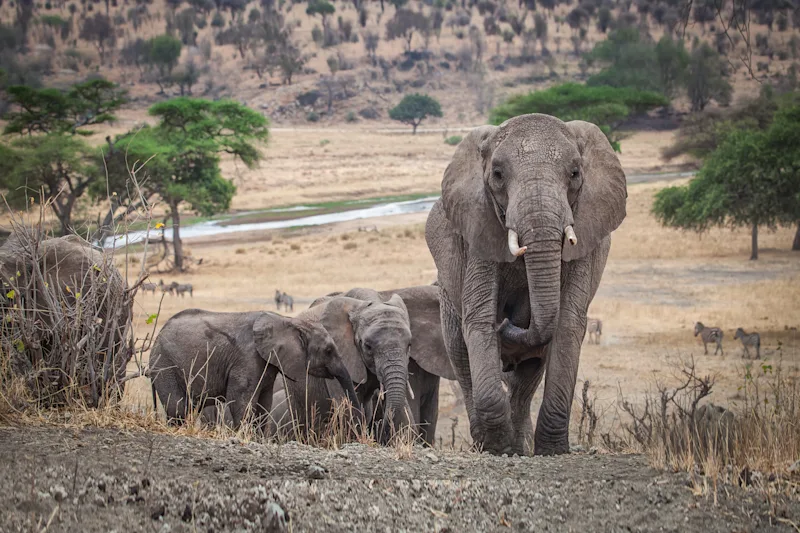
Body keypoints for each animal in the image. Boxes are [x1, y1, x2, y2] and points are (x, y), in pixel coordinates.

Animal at [148, 308, 360, 429]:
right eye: (329, 350)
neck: (287, 321)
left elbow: (264, 404)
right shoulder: (247, 358)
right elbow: (240, 401)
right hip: (165, 364)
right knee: (177, 407)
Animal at [425, 114, 627, 455]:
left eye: (575, 173)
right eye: (497, 174)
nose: (508, 322)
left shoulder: (586, 234)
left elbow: (568, 323)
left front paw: (552, 451)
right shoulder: (479, 229)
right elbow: (478, 320)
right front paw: (499, 449)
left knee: (527, 377)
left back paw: (521, 446)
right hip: (447, 295)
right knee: (461, 358)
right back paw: (487, 443)